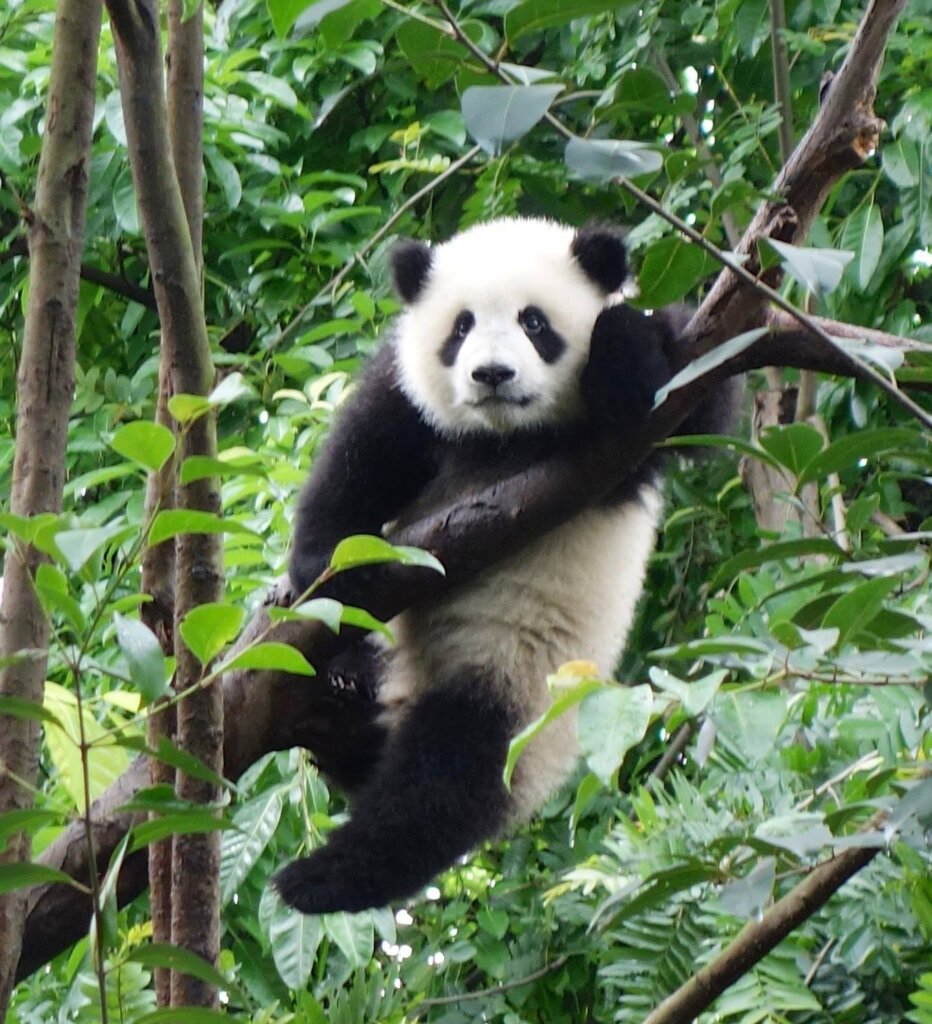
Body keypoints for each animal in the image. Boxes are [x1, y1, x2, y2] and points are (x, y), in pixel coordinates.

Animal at [274, 218, 733, 921]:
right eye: (460, 326)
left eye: (534, 322)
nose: (491, 374)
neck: (505, 437)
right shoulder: (407, 397)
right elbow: (358, 462)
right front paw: (330, 576)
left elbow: (700, 404)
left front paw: (621, 348)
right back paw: (343, 681)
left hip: (514, 685)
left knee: (443, 782)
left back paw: (321, 877)